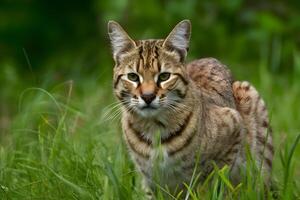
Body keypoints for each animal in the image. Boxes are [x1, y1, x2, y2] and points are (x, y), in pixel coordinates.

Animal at [106, 20, 274, 197]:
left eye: (164, 76)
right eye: (132, 77)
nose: (148, 96)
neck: (154, 127)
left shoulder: (234, 125)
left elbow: (211, 183)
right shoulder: (150, 178)